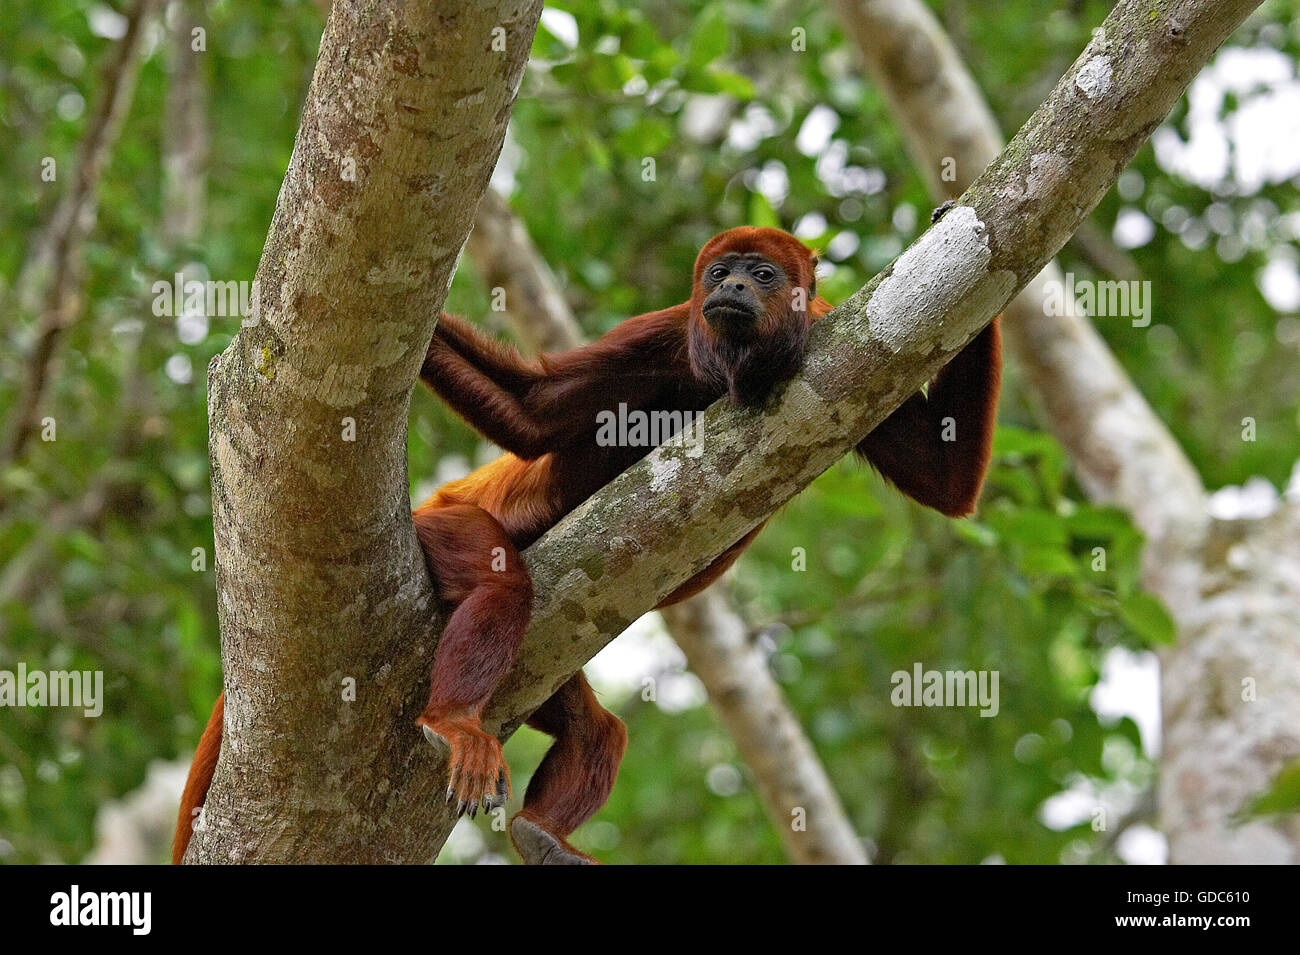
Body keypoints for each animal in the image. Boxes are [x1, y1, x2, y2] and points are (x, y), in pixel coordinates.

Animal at [175, 223, 1003, 867]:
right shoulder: (668, 329)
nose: (734, 284)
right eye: (719, 272)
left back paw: (542, 833)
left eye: (763, 273)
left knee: (595, 726)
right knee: (503, 586)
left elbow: (945, 480)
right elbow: (536, 412)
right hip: (439, 527)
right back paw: (452, 720)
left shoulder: (832, 331)